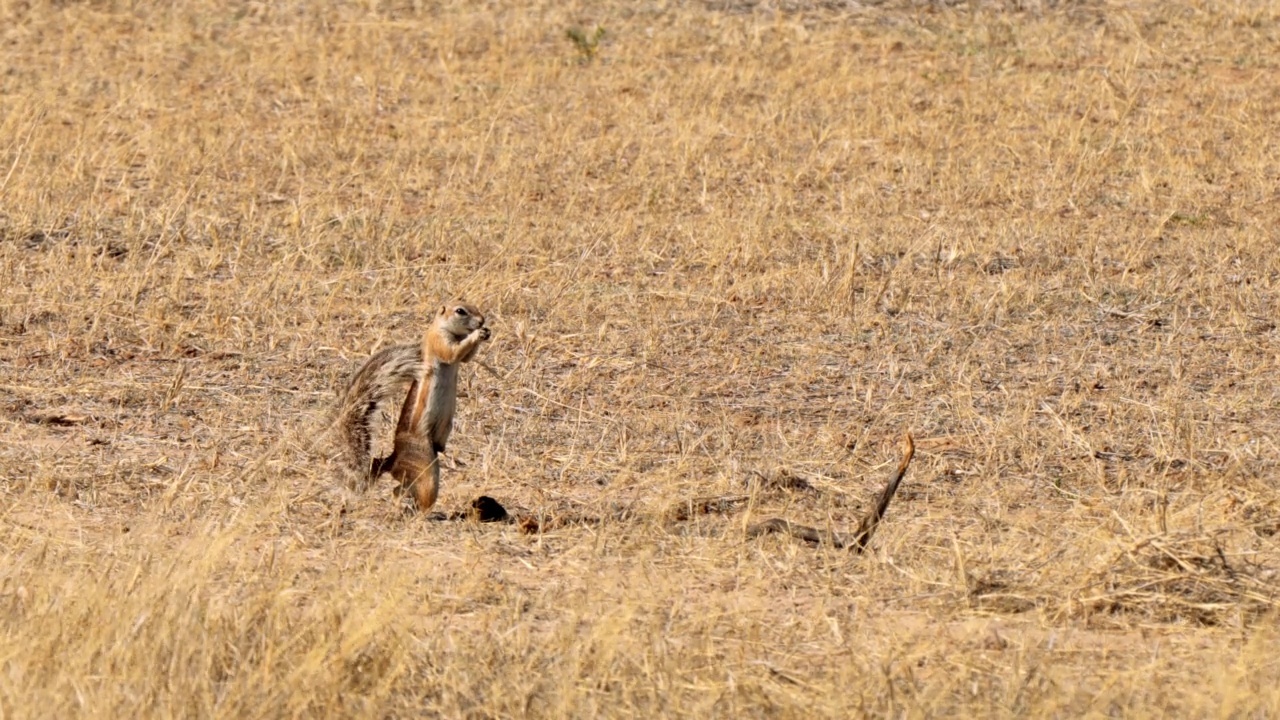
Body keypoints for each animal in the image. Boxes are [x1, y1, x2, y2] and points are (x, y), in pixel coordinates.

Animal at [335, 301, 488, 509]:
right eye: (460, 311)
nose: (482, 320)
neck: (444, 328)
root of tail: (393, 458)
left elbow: (465, 358)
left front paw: (485, 332)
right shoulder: (438, 341)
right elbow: (453, 353)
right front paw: (478, 334)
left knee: (400, 488)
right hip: (424, 464)